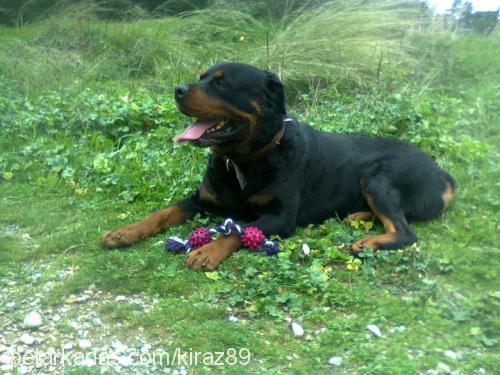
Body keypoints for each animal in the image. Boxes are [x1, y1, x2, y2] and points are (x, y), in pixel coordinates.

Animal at [100, 63, 454, 272]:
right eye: (202, 78)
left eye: (221, 84)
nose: (178, 89)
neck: (245, 160)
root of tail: (442, 175)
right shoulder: (202, 198)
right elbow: (162, 213)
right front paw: (124, 232)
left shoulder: (281, 217)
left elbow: (240, 231)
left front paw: (208, 250)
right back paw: (358, 217)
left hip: (379, 176)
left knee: (405, 231)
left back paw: (368, 241)